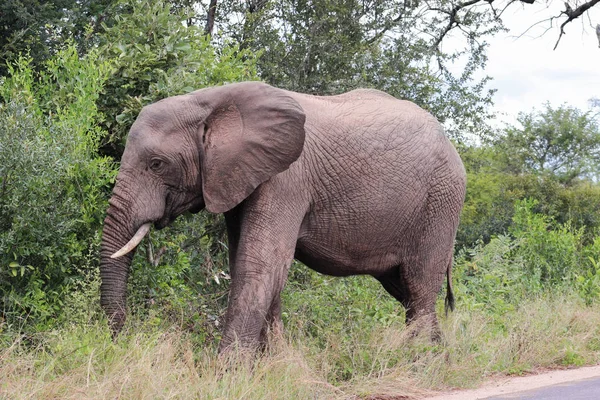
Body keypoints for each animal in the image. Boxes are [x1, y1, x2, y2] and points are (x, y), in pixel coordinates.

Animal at [98, 80, 466, 350]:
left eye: (156, 164)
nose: (121, 338)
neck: (210, 101)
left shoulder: (287, 179)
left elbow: (259, 263)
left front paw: (227, 375)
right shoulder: (240, 178)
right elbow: (249, 264)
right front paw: (272, 364)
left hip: (441, 202)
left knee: (419, 287)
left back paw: (419, 362)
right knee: (406, 292)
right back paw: (437, 356)